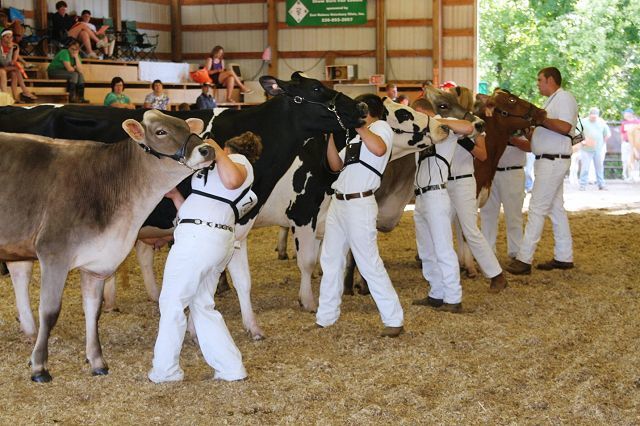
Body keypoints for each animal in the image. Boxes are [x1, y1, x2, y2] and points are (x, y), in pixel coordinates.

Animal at [0, 110, 216, 382]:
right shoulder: (54, 253)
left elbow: (94, 310)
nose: (207, 150)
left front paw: (97, 362)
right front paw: (40, 367)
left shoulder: (98, 262)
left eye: (187, 128)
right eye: (161, 132)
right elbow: (49, 311)